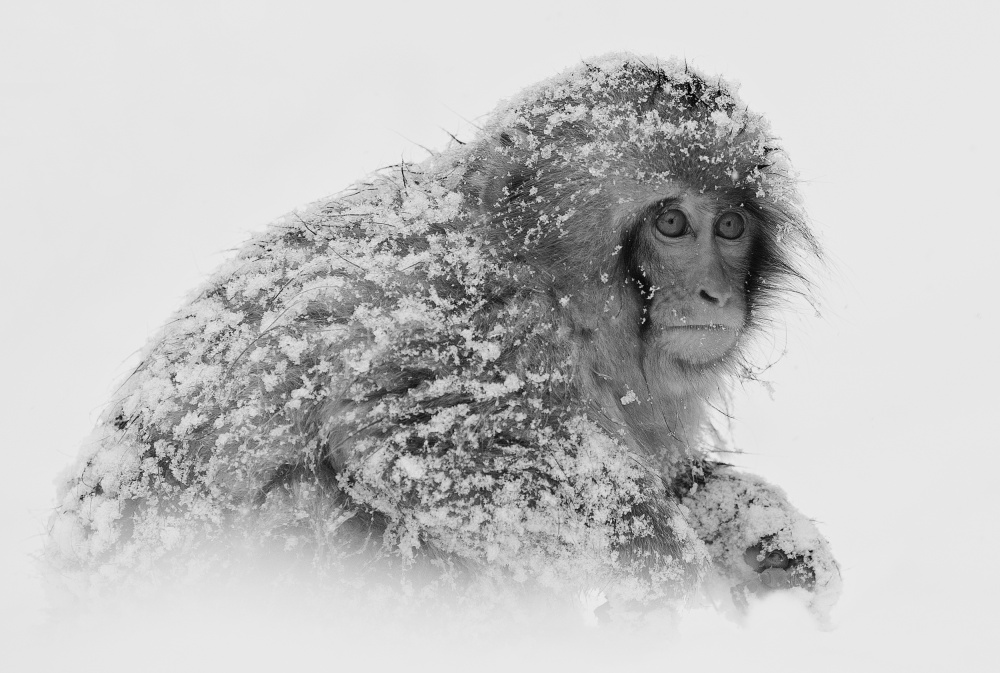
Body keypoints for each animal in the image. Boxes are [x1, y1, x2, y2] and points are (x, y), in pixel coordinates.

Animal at [48, 54, 839, 619]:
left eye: (730, 227)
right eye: (672, 222)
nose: (714, 293)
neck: (550, 282)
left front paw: (766, 537)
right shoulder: (485, 323)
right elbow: (423, 444)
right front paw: (682, 578)